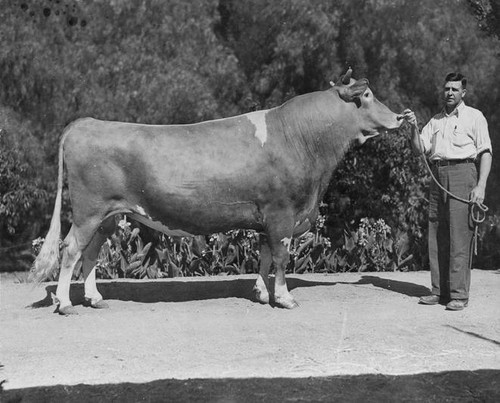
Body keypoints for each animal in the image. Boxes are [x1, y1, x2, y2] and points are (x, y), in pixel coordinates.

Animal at [31, 70, 404, 316]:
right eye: (367, 96)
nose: (400, 117)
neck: (301, 138)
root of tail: (87, 122)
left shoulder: (266, 217)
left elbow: (265, 255)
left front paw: (261, 293)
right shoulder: (282, 213)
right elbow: (281, 257)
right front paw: (284, 298)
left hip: (109, 214)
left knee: (91, 252)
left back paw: (94, 298)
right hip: (88, 211)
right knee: (70, 249)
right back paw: (65, 303)